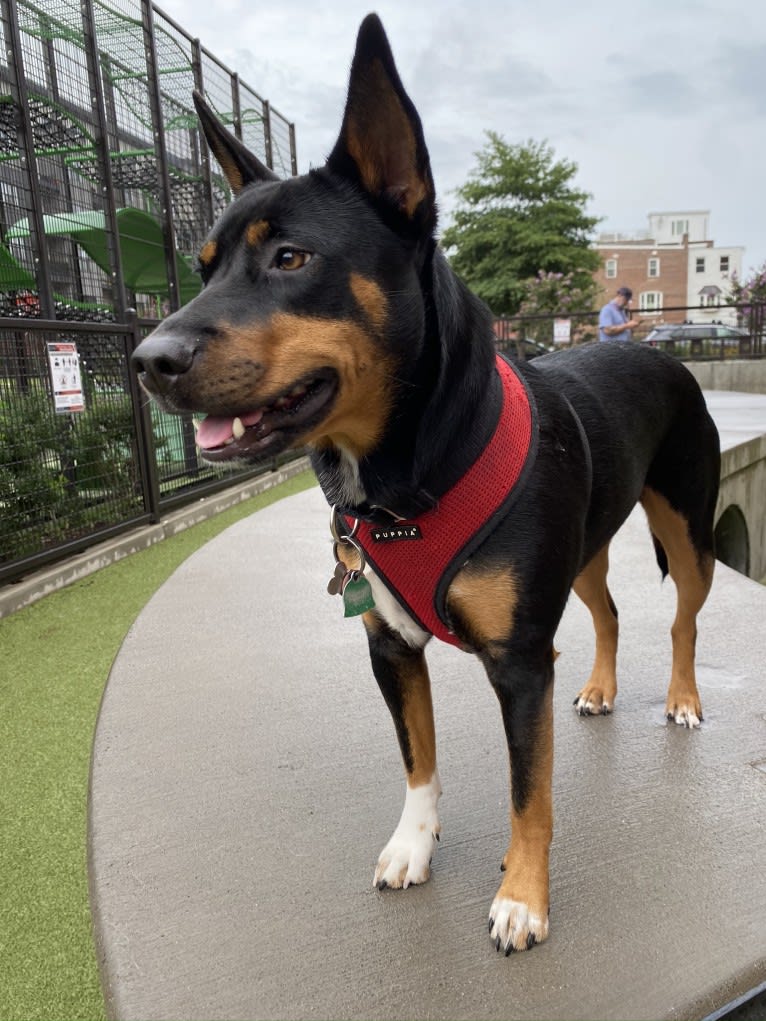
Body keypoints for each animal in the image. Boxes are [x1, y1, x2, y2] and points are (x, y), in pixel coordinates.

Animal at [134, 13, 723, 955]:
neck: (405, 483)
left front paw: (522, 897)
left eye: (291, 257)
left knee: (684, 617)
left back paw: (682, 698)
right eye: (204, 267)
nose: (149, 360)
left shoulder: (520, 663)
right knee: (608, 609)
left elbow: (530, 793)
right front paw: (414, 843)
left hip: (687, 526)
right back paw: (600, 687)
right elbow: (419, 758)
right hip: (585, 546)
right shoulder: (390, 644)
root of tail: (658, 350)